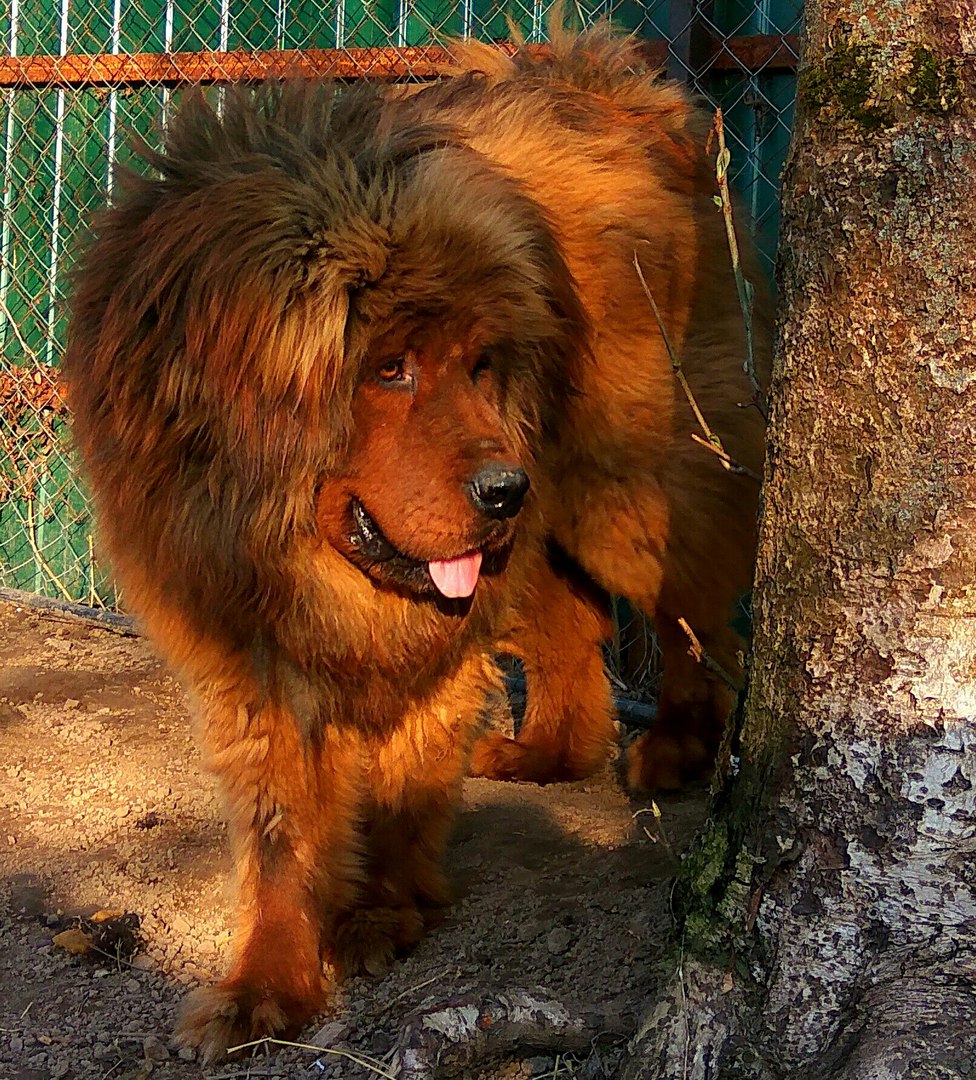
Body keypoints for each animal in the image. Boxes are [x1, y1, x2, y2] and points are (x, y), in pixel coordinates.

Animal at [63, 21, 768, 1061]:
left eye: (479, 365)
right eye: (389, 369)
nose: (504, 488)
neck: (289, 547)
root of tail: (623, 95)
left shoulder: (437, 638)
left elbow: (403, 776)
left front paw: (381, 914)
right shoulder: (245, 653)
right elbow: (279, 835)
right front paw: (265, 988)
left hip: (622, 488)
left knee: (695, 619)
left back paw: (676, 748)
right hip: (549, 517)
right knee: (572, 632)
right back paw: (548, 752)